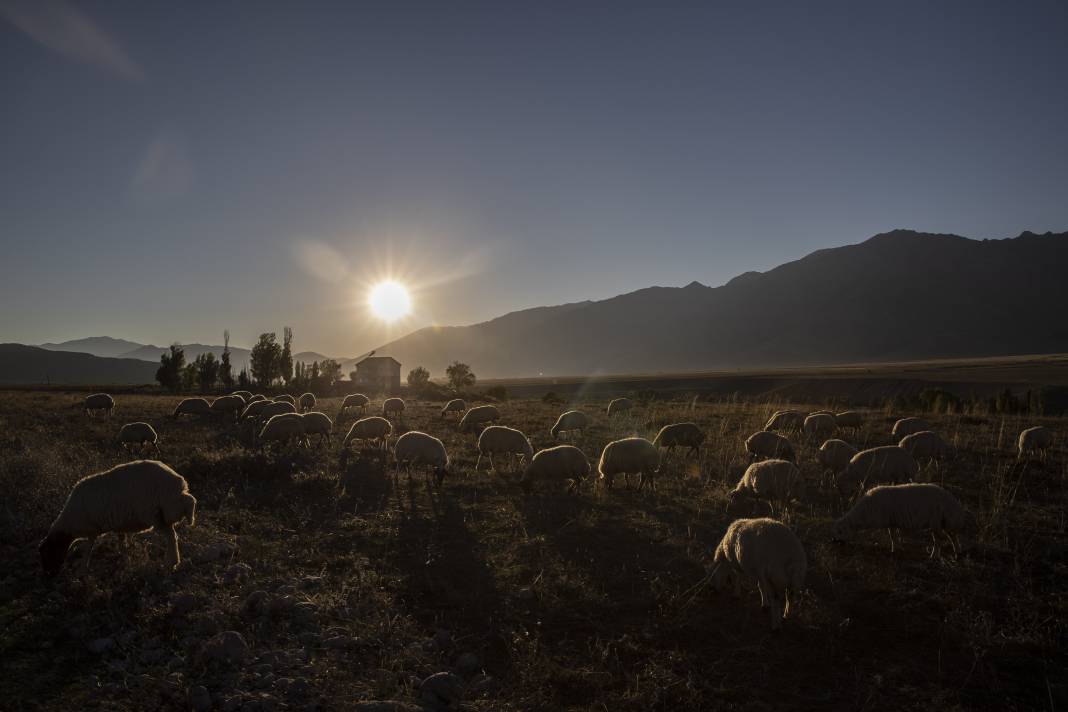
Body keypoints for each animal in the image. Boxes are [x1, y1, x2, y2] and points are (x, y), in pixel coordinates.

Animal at [38, 459, 196, 576]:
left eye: (47, 553)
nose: (49, 575)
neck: (68, 524)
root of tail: (178, 482)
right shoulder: (119, 525)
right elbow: (121, 540)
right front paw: (124, 556)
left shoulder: (91, 530)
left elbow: (88, 549)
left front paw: (82, 570)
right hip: (166, 510)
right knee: (186, 505)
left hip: (156, 513)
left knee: (172, 535)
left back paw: (170, 563)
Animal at [828, 482, 974, 559]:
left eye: (839, 531)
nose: (833, 542)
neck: (865, 512)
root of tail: (953, 503)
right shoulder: (892, 522)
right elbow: (893, 536)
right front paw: (896, 548)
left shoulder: (889, 521)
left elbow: (892, 537)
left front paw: (894, 550)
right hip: (944, 522)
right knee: (952, 536)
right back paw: (957, 552)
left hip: (936, 522)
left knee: (939, 540)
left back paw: (934, 555)